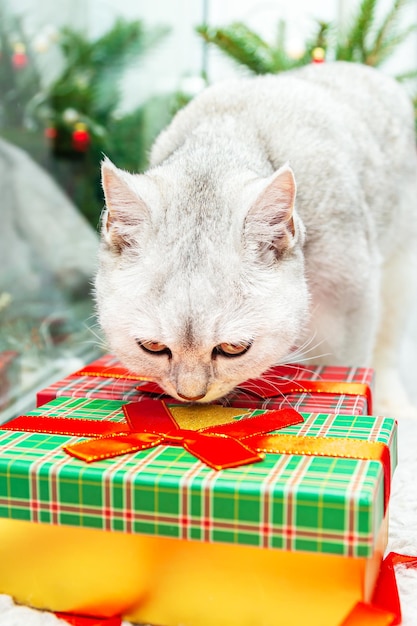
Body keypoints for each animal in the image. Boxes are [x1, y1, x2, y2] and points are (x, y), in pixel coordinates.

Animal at [95, 62, 416, 414]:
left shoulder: (347, 306)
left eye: (234, 348)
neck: (223, 141)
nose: (191, 394)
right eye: (152, 346)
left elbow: (348, 362)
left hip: (399, 268)